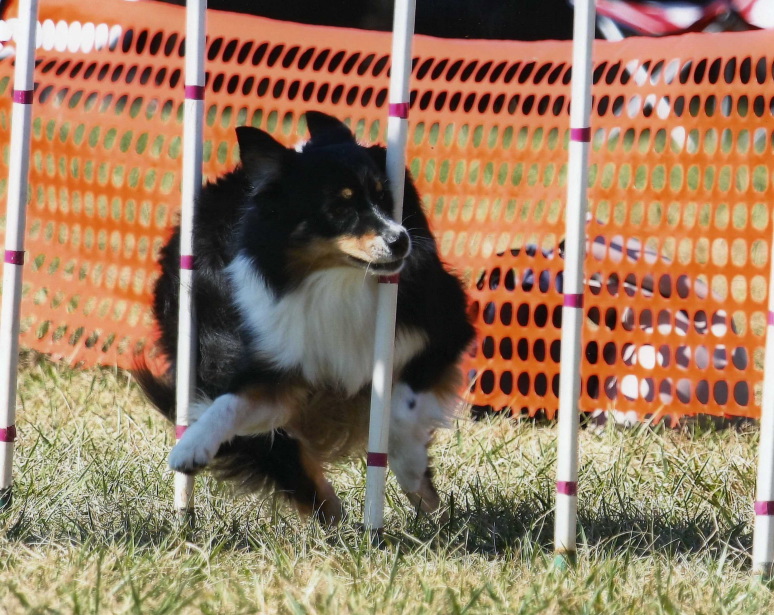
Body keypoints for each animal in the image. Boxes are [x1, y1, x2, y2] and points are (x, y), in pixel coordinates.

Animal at [136, 111, 475, 523]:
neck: (337, 281)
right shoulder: (278, 363)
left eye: (384, 196)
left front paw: (410, 466)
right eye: (339, 208)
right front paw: (192, 446)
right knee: (289, 460)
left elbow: (402, 410)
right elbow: (231, 402)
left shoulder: (443, 330)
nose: (401, 240)